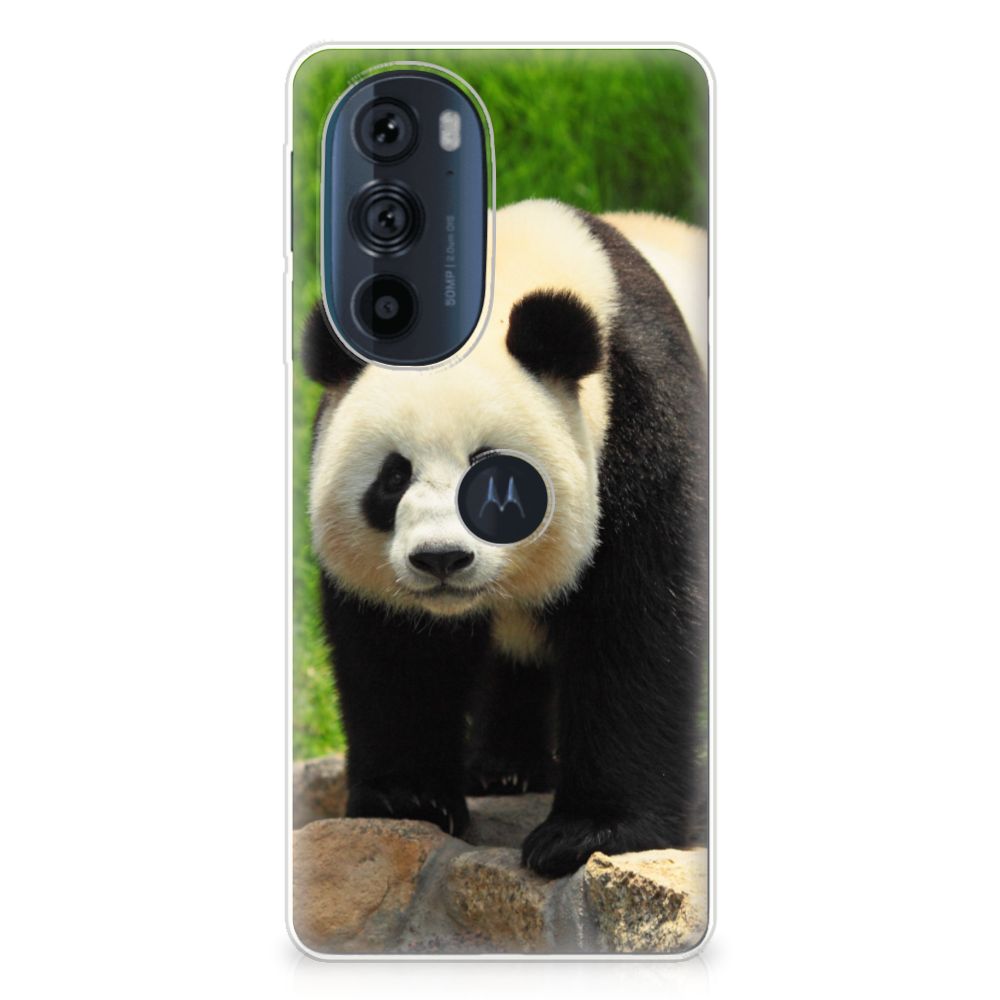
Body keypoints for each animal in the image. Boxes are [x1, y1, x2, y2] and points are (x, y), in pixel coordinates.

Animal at [302, 199, 708, 877]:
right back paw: (504, 769)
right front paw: (408, 799)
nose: (441, 559)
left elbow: (637, 627)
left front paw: (588, 833)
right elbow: (395, 650)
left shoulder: (643, 425)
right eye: (392, 477)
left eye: (496, 478)